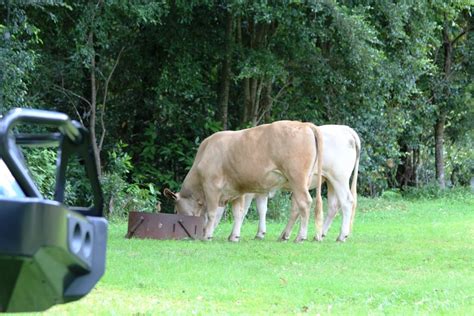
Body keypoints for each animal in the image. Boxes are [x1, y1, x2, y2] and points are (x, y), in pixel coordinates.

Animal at [165, 119, 324, 241]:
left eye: (176, 208)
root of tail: (304, 124)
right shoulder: (236, 190)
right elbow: (238, 212)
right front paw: (234, 237)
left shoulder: (212, 186)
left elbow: (212, 213)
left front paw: (207, 236)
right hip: (302, 182)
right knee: (297, 206)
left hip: (297, 178)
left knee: (305, 203)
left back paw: (300, 236)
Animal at [221, 124, 360, 242]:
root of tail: (347, 130)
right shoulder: (262, 189)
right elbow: (262, 208)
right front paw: (260, 233)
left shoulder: (249, 190)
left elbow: (244, 209)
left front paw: (235, 234)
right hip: (329, 181)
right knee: (332, 205)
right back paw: (318, 235)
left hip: (338, 178)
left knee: (346, 202)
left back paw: (341, 236)